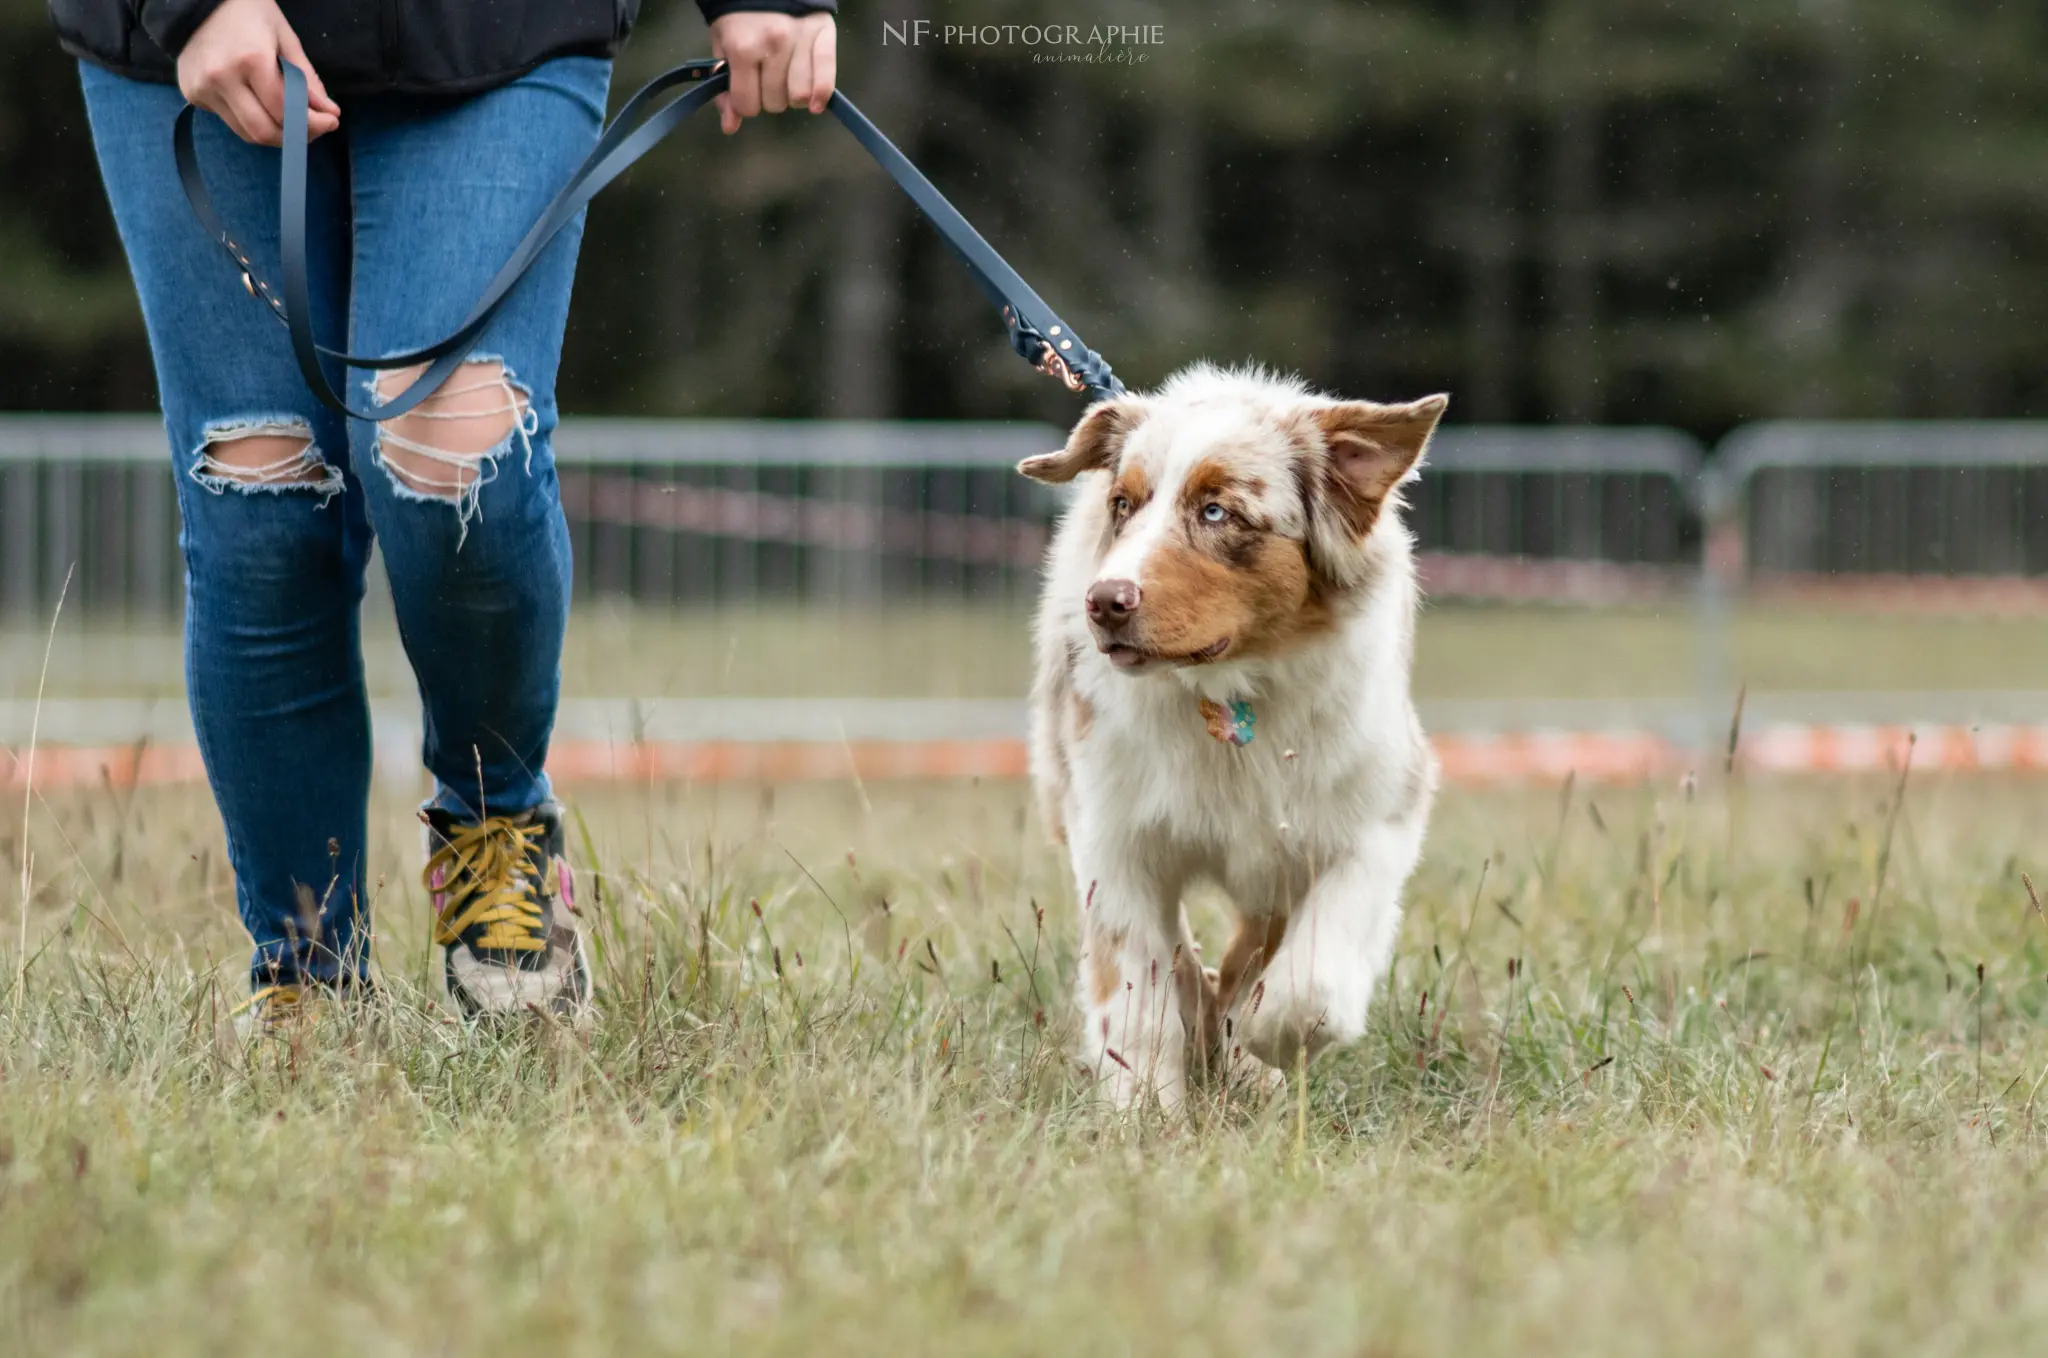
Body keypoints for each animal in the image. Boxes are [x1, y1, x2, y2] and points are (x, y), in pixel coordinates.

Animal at [1019, 366, 1441, 1114]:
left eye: (1217, 512)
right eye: (1124, 503)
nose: (1104, 602)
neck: (1229, 697)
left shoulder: (1377, 811)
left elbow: (1314, 973)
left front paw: (1267, 1040)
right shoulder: (1114, 834)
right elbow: (1137, 986)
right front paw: (1145, 1108)